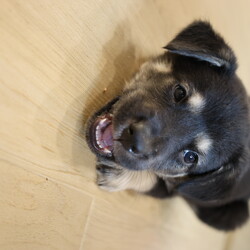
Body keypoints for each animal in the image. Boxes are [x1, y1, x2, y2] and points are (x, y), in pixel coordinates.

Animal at [85, 21, 250, 230]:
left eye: (190, 157)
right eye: (180, 92)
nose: (134, 139)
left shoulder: (176, 190)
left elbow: (149, 180)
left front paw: (117, 175)